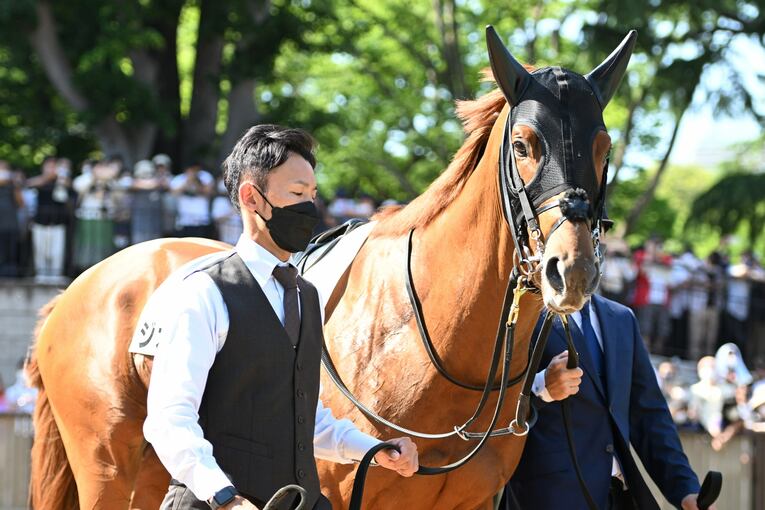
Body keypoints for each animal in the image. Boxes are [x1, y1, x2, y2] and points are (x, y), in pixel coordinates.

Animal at [26, 28, 634, 510]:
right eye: (524, 144)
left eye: (604, 146)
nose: (570, 270)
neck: (430, 347)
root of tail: (73, 291)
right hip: (109, 471)